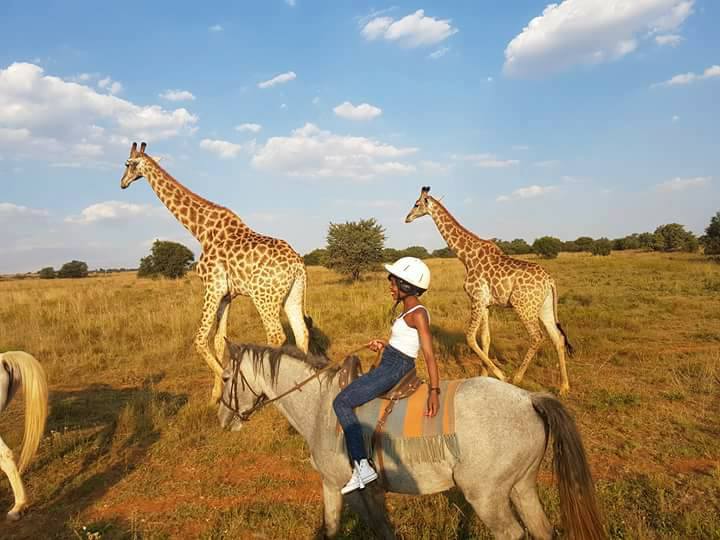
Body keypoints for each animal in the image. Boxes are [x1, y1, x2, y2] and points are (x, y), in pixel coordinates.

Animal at [216, 343, 606, 540]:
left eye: (225, 378)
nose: (221, 419)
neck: (321, 406)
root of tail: (528, 399)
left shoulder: (352, 489)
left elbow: (378, 531)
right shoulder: (336, 487)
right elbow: (333, 529)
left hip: (487, 496)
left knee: (511, 534)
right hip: (522, 487)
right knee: (542, 531)